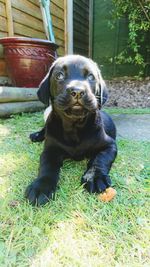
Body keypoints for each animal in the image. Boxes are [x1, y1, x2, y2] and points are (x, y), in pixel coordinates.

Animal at [25, 55, 117, 206]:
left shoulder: (109, 145)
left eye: (91, 76)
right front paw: (41, 187)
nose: (78, 91)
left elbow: (100, 159)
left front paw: (95, 177)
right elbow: (47, 166)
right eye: (59, 75)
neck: (74, 126)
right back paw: (37, 135)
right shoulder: (50, 150)